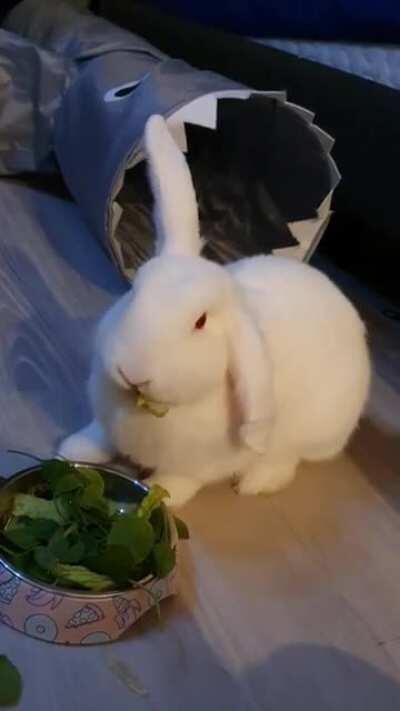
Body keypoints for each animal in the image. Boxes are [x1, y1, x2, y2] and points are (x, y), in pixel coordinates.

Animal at [59, 114, 371, 507]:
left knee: (288, 458)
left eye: (200, 322)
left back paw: (256, 481)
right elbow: (99, 435)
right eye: (135, 291)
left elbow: (177, 481)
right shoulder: (105, 422)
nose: (132, 372)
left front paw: (162, 498)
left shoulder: (195, 466)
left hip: (315, 433)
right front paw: (71, 450)